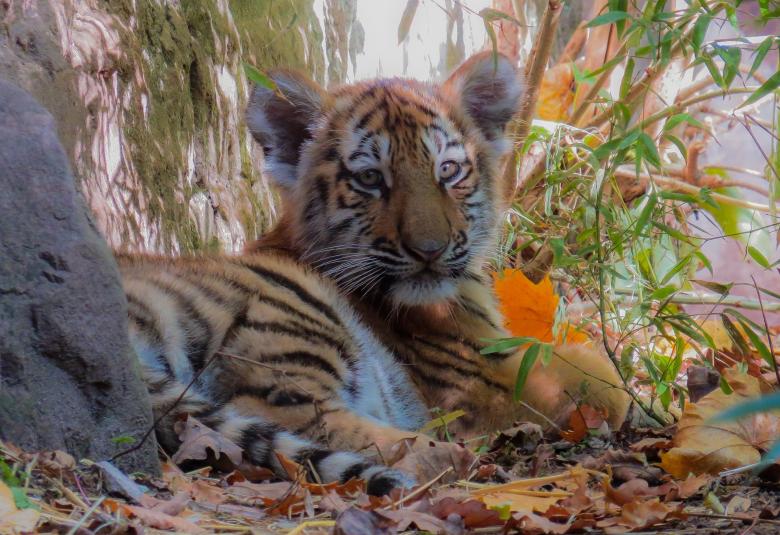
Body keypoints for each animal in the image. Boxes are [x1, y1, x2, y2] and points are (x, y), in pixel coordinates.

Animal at [118, 51, 630, 495]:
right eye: (369, 178)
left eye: (448, 170)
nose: (429, 250)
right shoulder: (490, 372)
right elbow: (604, 380)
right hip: (289, 324)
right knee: (297, 425)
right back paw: (445, 459)